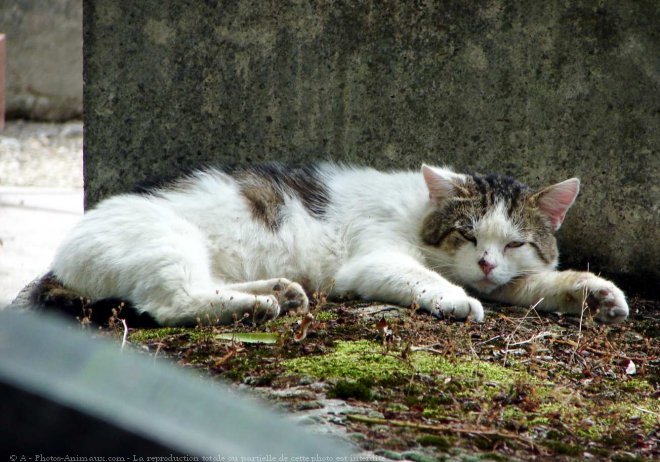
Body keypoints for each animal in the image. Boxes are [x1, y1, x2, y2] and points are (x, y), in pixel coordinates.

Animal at [34, 164, 628, 326]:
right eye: (468, 233)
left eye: (515, 244)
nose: (483, 263)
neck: (421, 216)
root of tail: (61, 254)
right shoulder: (375, 260)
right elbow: (423, 277)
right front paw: (456, 299)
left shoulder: (509, 278)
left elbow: (536, 283)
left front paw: (594, 293)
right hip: (168, 242)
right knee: (173, 303)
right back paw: (260, 304)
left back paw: (278, 291)